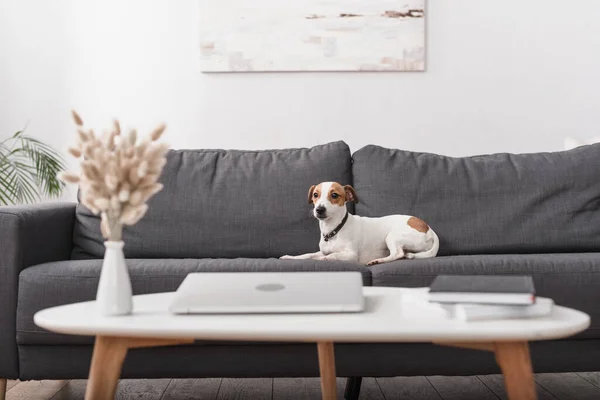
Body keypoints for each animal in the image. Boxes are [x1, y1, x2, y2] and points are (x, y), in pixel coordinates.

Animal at [278, 182, 438, 266]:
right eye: (315, 195)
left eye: (334, 195)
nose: (319, 209)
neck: (334, 230)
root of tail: (429, 229)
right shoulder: (322, 250)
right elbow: (307, 255)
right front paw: (290, 257)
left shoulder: (351, 255)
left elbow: (333, 255)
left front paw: (322, 259)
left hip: (392, 237)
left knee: (397, 254)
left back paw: (378, 260)